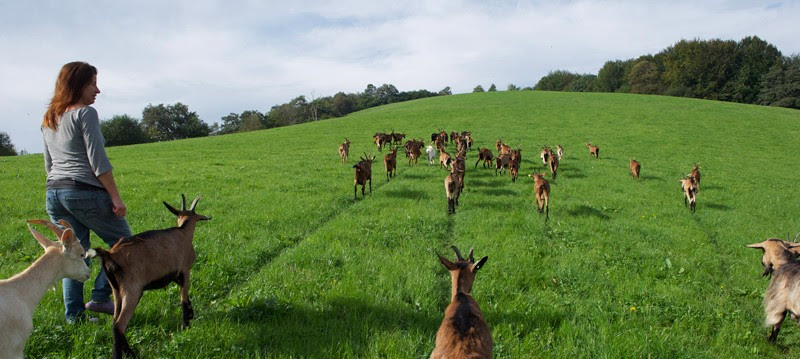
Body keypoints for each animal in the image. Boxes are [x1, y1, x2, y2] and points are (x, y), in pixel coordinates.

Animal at [92, 197, 209, 359]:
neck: (183, 232)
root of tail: (110, 255)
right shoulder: (185, 271)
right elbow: (184, 300)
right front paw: (186, 325)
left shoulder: (174, 275)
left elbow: (187, 298)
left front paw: (191, 315)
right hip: (132, 290)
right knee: (119, 325)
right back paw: (125, 354)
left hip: (116, 290)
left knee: (114, 322)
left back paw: (126, 352)